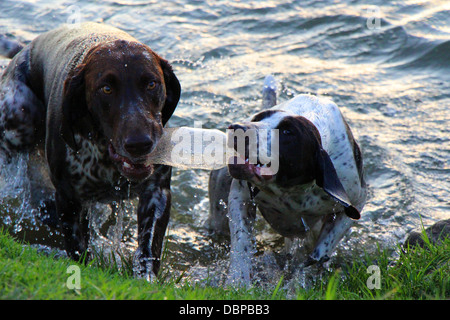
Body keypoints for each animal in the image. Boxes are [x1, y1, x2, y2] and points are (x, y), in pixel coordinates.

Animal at [209, 76, 368, 284]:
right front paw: (238, 281)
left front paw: (307, 268)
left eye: (287, 132)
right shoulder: (240, 197)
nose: (236, 128)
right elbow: (241, 245)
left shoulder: (356, 200)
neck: (290, 188)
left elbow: (325, 243)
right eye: (258, 118)